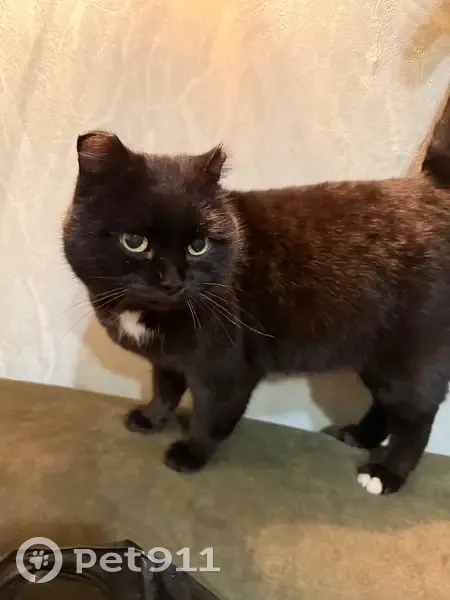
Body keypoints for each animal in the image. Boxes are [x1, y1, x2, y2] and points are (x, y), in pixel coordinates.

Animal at [63, 97, 450, 496]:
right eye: (135, 241)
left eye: (198, 245)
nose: (172, 282)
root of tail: (436, 189)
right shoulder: (168, 359)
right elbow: (165, 389)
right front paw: (152, 419)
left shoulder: (227, 368)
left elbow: (212, 414)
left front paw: (191, 453)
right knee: (386, 407)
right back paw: (359, 436)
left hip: (410, 360)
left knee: (417, 419)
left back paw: (385, 474)